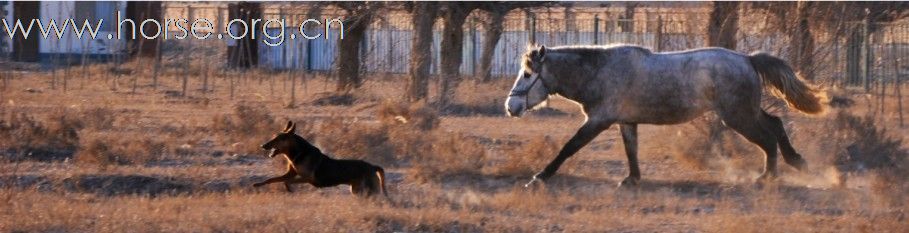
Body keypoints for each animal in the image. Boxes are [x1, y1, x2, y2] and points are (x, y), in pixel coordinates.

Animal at [254, 121, 388, 198]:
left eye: (278, 139)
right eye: (273, 137)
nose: (262, 145)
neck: (298, 153)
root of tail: (372, 167)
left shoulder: (307, 178)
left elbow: (287, 182)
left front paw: (289, 189)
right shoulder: (290, 173)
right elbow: (272, 179)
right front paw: (258, 184)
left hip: (370, 190)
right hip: (356, 191)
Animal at [508, 44, 828, 187]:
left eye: (527, 74)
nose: (510, 107)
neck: (600, 71)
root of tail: (747, 59)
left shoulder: (598, 121)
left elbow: (568, 148)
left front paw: (539, 176)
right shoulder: (626, 121)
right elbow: (631, 150)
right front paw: (632, 179)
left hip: (738, 116)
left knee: (768, 137)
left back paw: (767, 176)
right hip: (745, 112)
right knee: (776, 125)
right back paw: (796, 162)